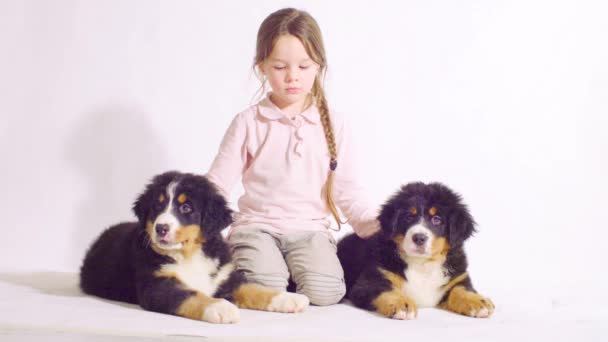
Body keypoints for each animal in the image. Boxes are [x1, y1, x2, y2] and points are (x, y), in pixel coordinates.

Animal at [79, 171, 308, 324]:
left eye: (186, 208)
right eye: (157, 206)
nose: (161, 228)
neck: (189, 255)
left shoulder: (225, 277)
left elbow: (254, 288)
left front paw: (288, 298)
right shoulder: (156, 285)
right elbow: (190, 295)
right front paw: (220, 307)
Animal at [338, 183, 494, 320]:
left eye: (437, 219)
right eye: (408, 217)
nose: (419, 238)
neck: (422, 264)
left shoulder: (457, 277)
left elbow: (461, 289)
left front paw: (478, 302)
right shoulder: (371, 280)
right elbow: (386, 289)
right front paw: (402, 304)